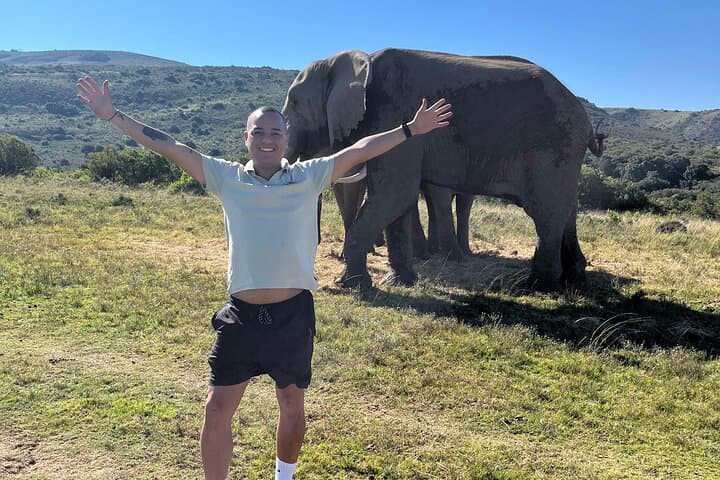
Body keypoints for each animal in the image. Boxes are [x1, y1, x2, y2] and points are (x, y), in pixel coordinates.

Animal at [282, 48, 605, 291]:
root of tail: (586, 120)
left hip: (553, 146)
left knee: (545, 212)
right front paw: (399, 282)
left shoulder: (391, 112)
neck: (357, 61)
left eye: (294, 104)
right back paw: (574, 280)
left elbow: (395, 193)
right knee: (567, 209)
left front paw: (350, 285)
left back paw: (538, 286)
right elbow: (397, 201)